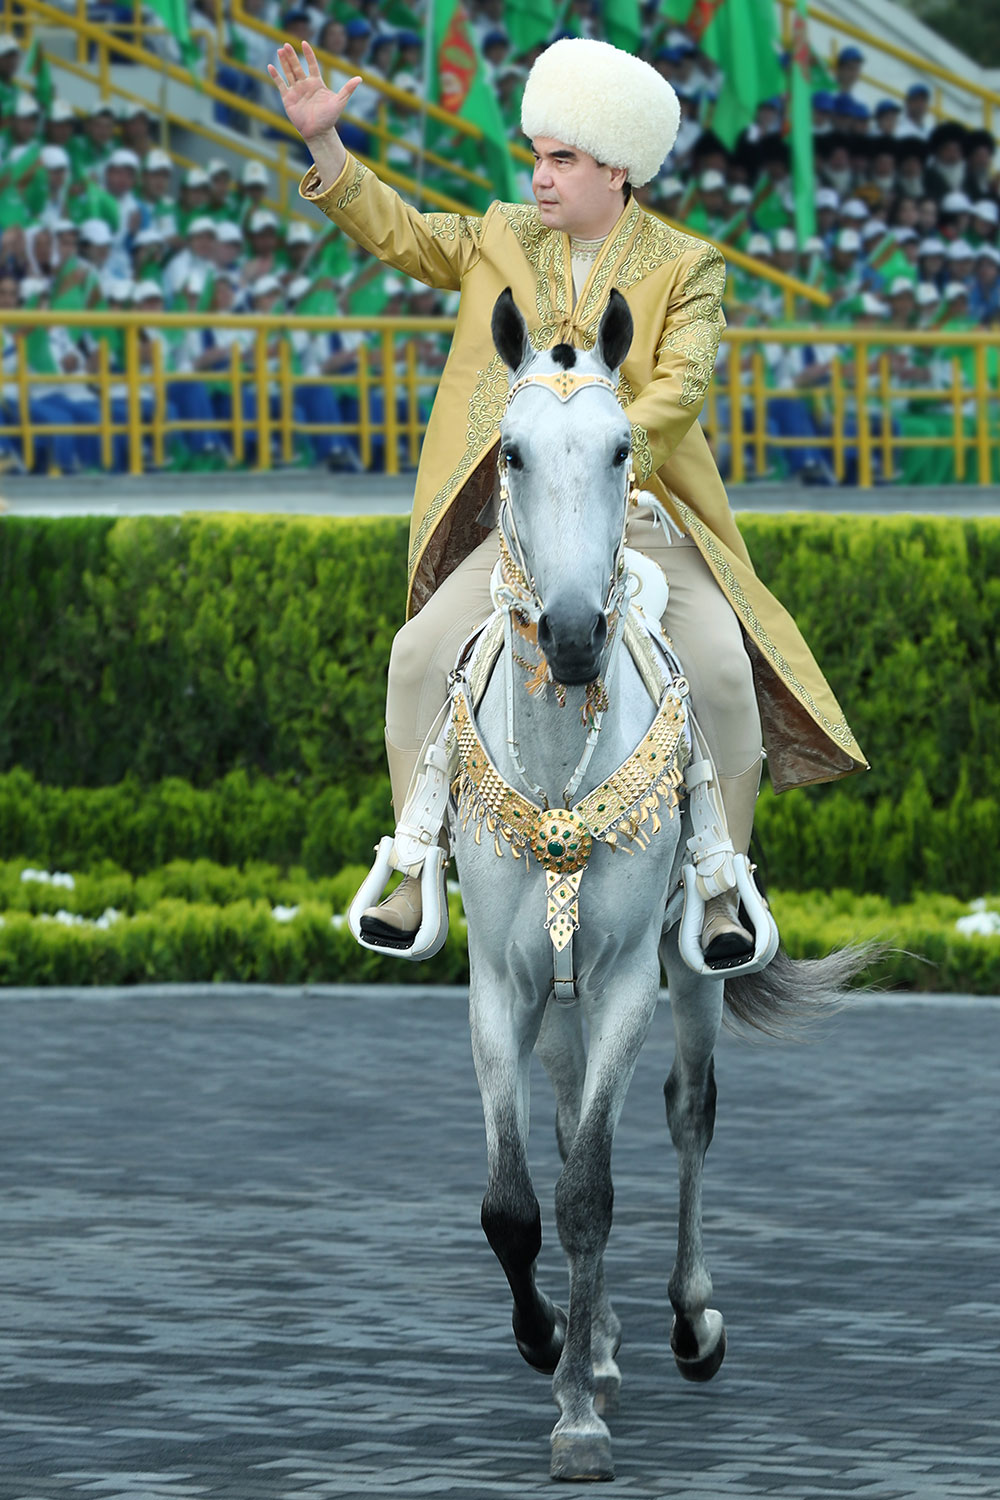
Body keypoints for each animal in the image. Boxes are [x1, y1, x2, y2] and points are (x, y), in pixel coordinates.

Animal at [449, 286, 863, 1482]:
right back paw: (599, 1342)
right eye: (511, 451)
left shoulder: (633, 971)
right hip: (559, 996)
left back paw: (685, 1323)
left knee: (686, 1114)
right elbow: (514, 1201)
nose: (575, 636)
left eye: (623, 448)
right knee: (569, 1118)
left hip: (689, 976)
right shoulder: (499, 983)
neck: (558, 761)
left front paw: (577, 1418)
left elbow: (591, 1189)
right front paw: (552, 1341)